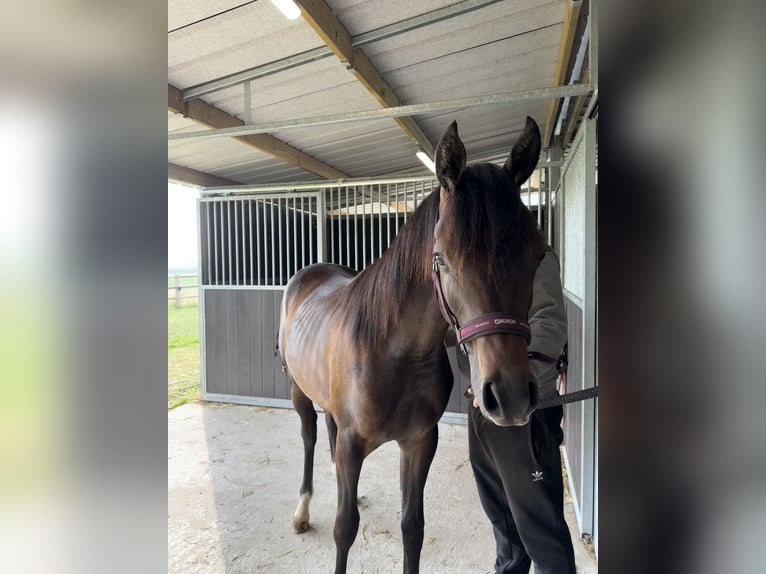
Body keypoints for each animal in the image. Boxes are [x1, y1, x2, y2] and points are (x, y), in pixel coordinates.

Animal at [276, 116, 547, 573]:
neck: (392, 354)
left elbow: (412, 528)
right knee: (310, 437)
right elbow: (344, 529)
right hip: (299, 393)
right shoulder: (353, 444)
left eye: (538, 254)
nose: (509, 396)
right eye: (441, 258)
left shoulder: (419, 442)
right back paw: (300, 512)